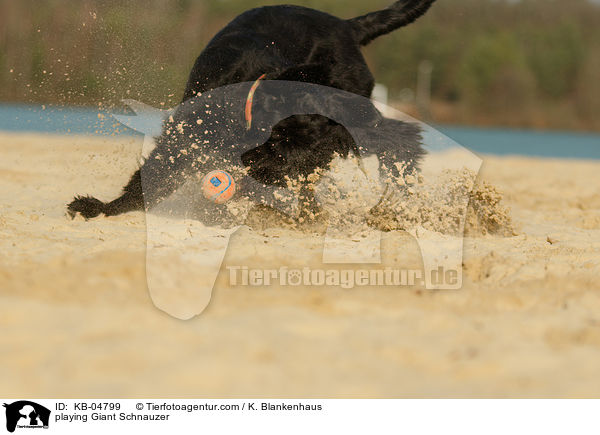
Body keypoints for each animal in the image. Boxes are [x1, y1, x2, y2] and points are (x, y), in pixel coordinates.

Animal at [69, 0, 436, 221]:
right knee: (399, 136)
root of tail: (351, 27)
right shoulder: (182, 138)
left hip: (354, 118)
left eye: (292, 151)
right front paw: (101, 207)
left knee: (401, 136)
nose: (262, 170)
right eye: (277, 139)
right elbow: (151, 178)